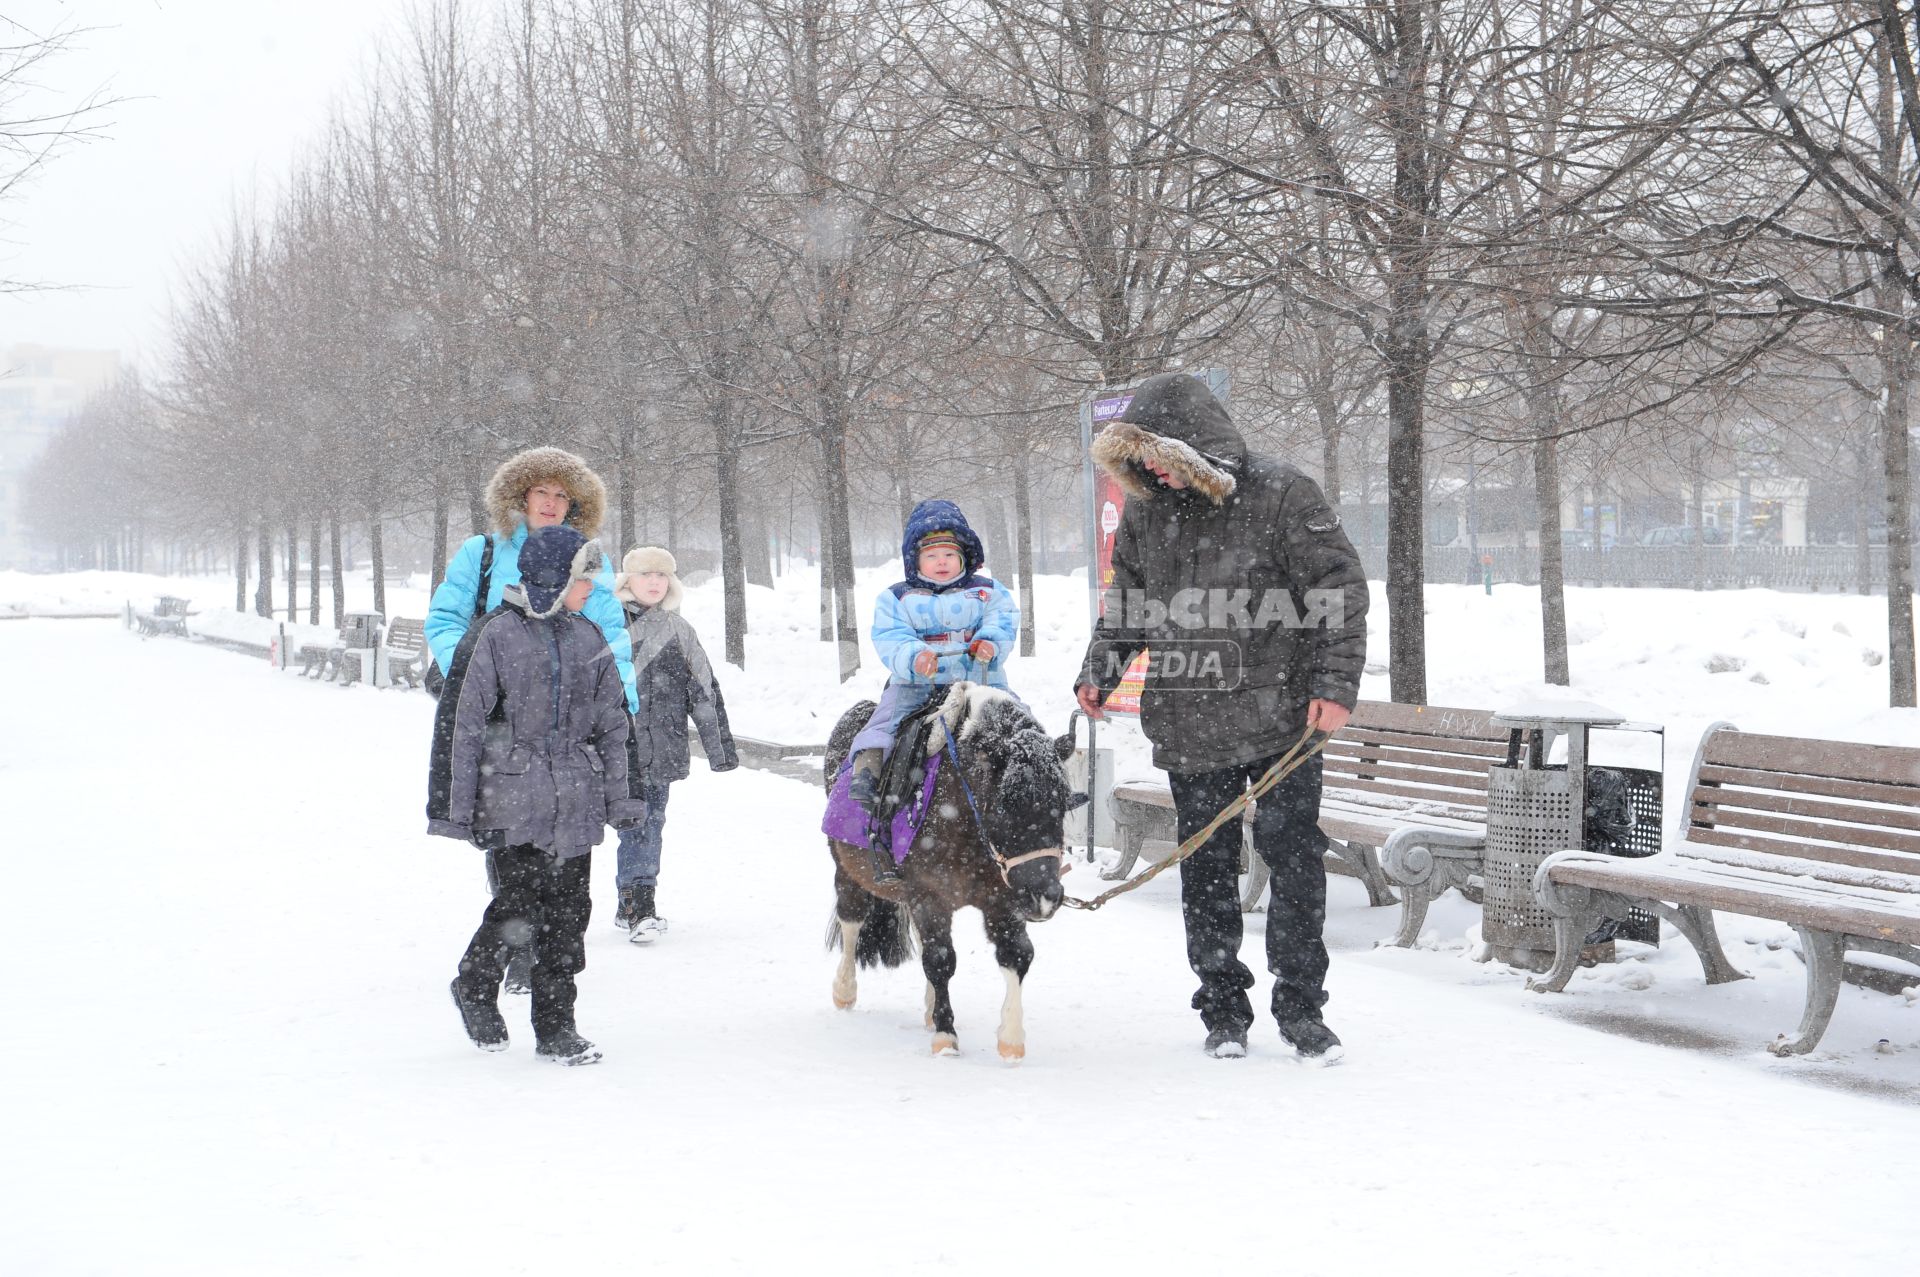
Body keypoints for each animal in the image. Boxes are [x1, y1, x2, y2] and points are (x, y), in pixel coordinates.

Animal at [821, 683, 1082, 1060]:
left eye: (1060, 807)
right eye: (1004, 807)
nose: (1045, 897)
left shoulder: (1002, 897)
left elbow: (1016, 953)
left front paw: (1011, 1038)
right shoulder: (929, 895)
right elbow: (940, 959)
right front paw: (946, 1036)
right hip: (846, 868)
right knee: (852, 919)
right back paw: (845, 990)